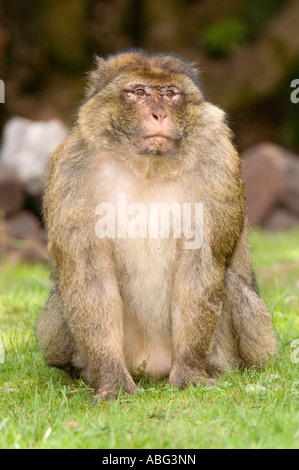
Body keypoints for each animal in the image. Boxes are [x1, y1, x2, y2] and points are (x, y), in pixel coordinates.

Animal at [36, 50, 278, 400]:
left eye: (169, 93)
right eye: (139, 92)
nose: (158, 114)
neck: (147, 166)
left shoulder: (219, 163)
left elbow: (200, 264)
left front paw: (190, 372)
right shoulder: (70, 169)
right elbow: (88, 272)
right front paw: (112, 380)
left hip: (255, 337)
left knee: (230, 283)